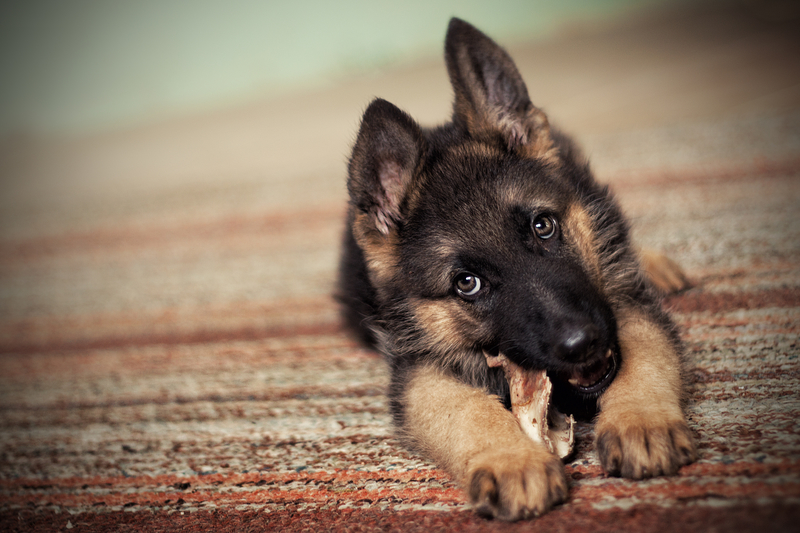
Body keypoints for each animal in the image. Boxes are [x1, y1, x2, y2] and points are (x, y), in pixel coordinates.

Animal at [336, 17, 692, 520]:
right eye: (467, 284)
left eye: (543, 226)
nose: (582, 344)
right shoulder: (419, 372)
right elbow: (466, 409)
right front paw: (514, 462)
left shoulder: (621, 305)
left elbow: (643, 354)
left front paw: (641, 421)